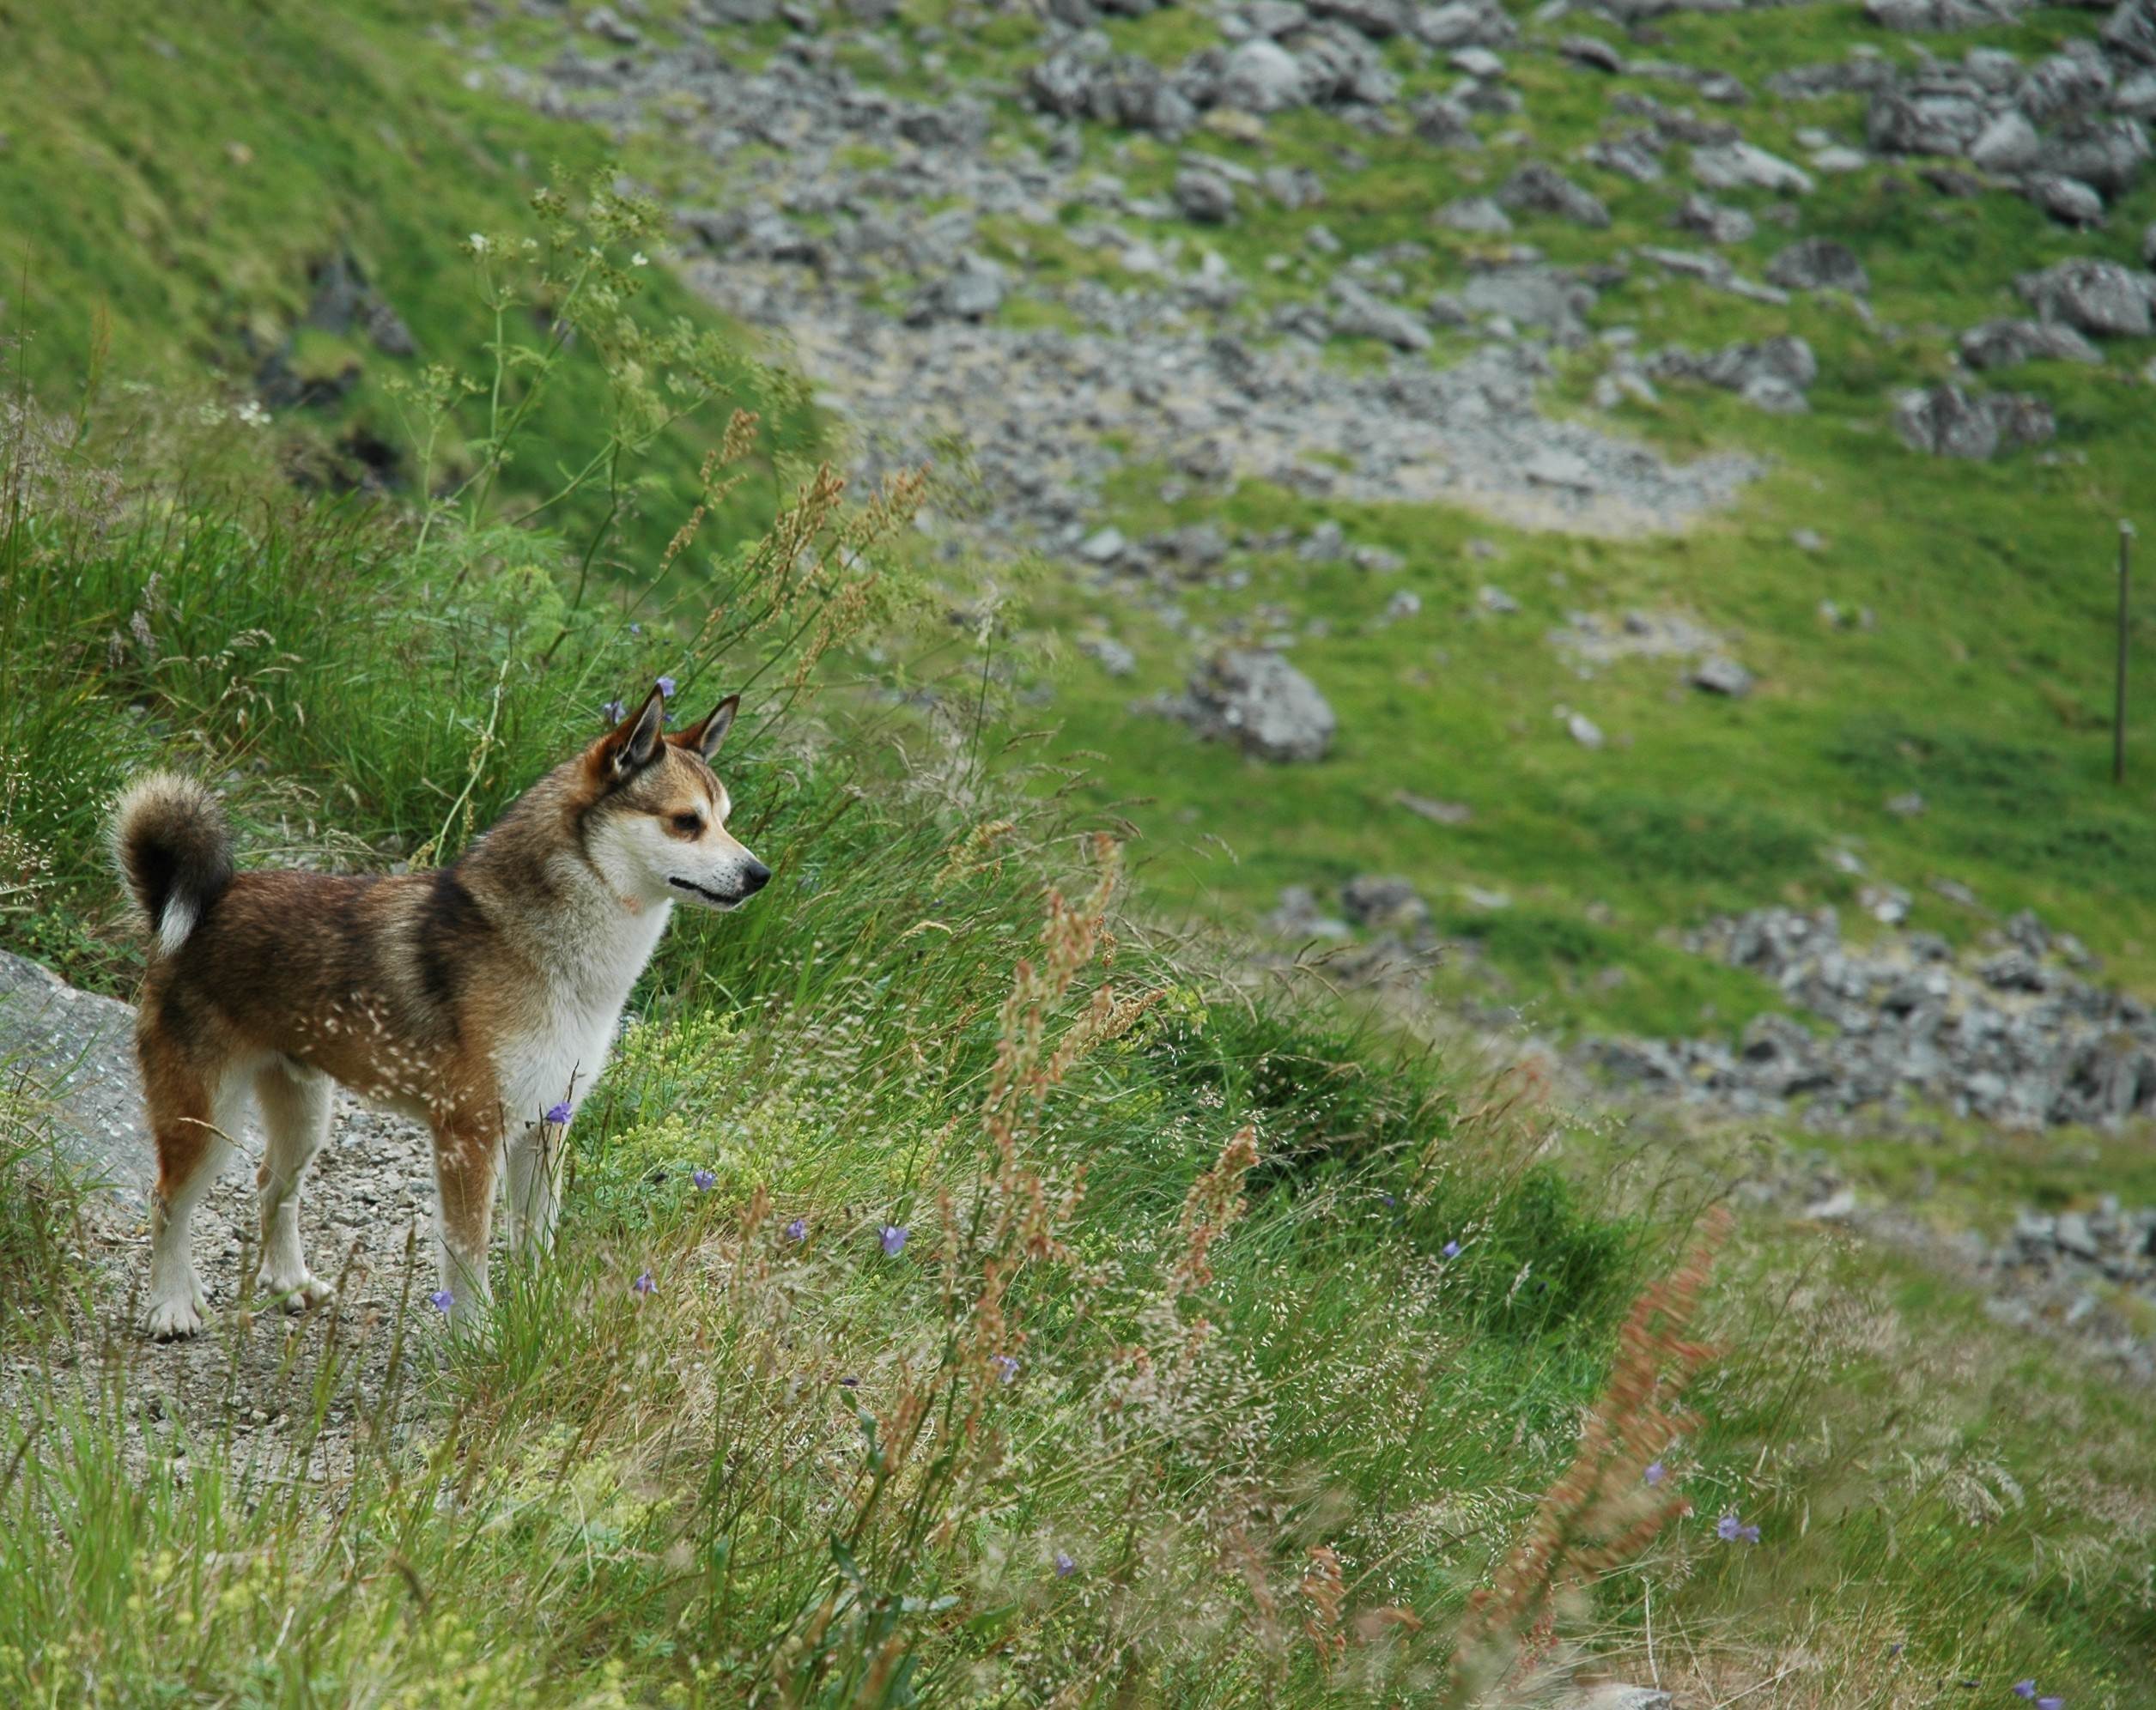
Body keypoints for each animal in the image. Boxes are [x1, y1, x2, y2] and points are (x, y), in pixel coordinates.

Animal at [113, 681, 775, 1337]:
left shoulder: (546, 1130)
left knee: (272, 1188)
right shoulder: (470, 1136)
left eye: (724, 821)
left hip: (305, 1117)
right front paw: (475, 1338)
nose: (760, 874)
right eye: (685, 822)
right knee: (168, 1202)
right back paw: (170, 1304)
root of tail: (198, 904)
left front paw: (534, 1317)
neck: (550, 957)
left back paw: (289, 1283)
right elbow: (469, 1254)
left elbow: (537, 1243)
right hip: (205, 1119)